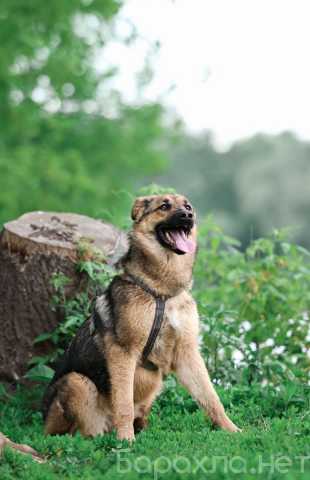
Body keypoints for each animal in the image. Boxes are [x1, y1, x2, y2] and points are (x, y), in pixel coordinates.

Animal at [41, 194, 240, 438]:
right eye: (164, 206)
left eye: (188, 206)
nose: (188, 216)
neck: (162, 292)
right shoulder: (123, 353)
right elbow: (123, 402)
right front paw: (126, 439)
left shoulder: (186, 353)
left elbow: (211, 397)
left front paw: (232, 429)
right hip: (76, 382)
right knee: (80, 433)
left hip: (153, 387)